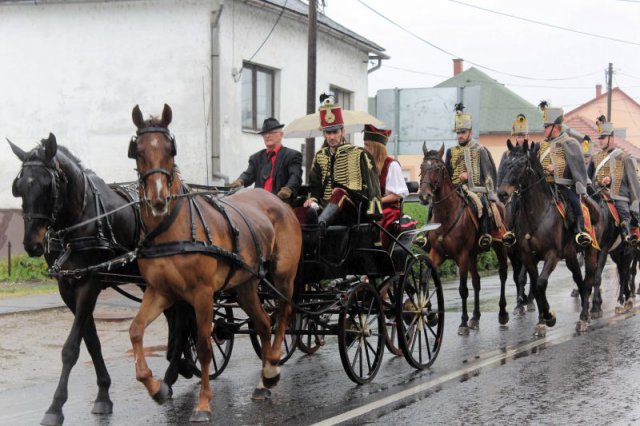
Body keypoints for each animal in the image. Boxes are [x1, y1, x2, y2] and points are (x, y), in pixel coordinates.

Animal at [8, 136, 195, 426]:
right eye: (19, 187)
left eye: (48, 186)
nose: (32, 244)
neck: (80, 219)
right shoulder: (68, 289)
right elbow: (92, 342)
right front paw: (103, 395)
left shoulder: (90, 284)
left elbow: (71, 349)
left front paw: (55, 406)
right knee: (174, 318)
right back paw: (180, 367)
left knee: (183, 320)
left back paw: (172, 374)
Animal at [127, 104, 302, 422]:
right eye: (139, 150)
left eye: (170, 149)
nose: (159, 200)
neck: (174, 227)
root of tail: (278, 201)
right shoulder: (161, 291)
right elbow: (135, 330)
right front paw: (156, 388)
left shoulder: (203, 294)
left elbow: (205, 346)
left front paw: (203, 404)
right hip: (245, 285)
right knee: (263, 323)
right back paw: (262, 382)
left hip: (283, 276)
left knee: (283, 313)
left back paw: (272, 368)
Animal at [420, 146, 510, 336]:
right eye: (422, 166)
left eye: (437, 168)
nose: (424, 196)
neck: (446, 215)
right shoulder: (437, 253)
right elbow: (425, 280)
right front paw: (431, 316)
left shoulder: (461, 256)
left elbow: (462, 289)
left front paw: (462, 323)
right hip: (473, 255)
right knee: (476, 281)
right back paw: (475, 318)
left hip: (499, 247)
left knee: (503, 275)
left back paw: (502, 313)